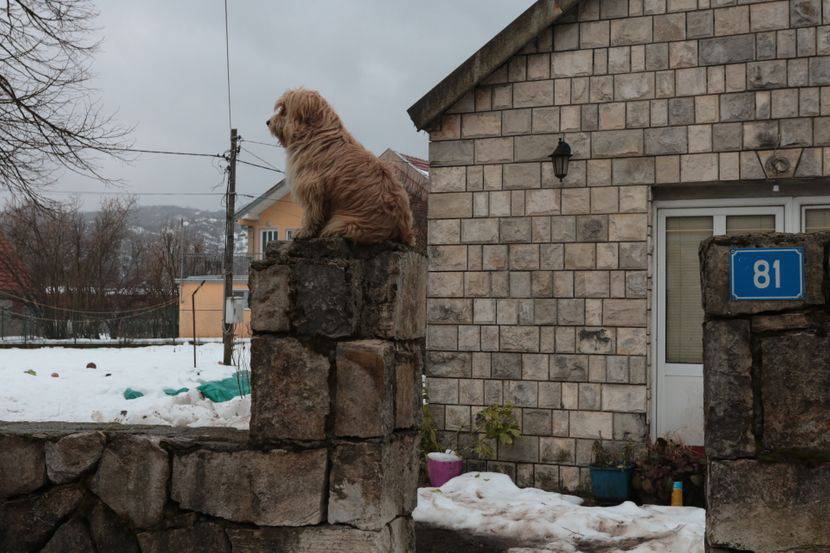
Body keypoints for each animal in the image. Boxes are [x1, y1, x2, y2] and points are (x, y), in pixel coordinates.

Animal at [268, 89, 416, 246]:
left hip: (345, 223)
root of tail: (403, 231)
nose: (268, 122)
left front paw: (304, 231)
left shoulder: (311, 186)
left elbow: (311, 213)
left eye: (284, 110)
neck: (314, 132)